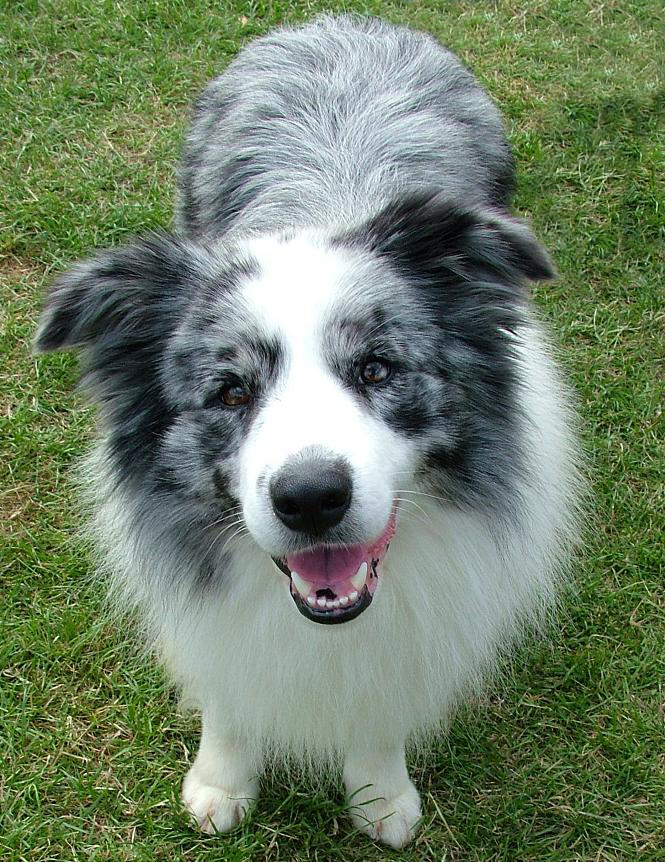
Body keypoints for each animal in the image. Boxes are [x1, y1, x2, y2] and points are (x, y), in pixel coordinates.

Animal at [35, 13, 576, 852]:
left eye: (378, 369)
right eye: (229, 391)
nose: (312, 498)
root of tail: (344, 21)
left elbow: (380, 697)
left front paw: (380, 795)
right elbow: (228, 689)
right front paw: (221, 783)